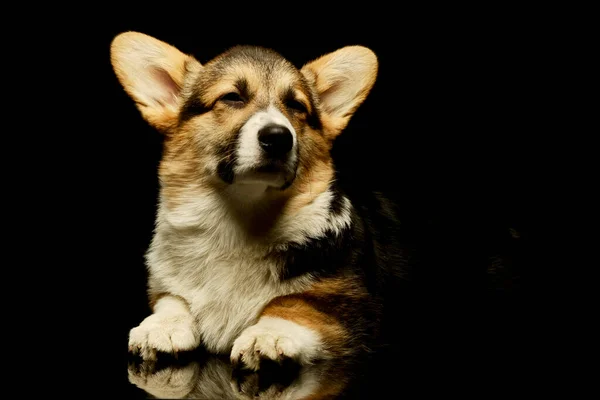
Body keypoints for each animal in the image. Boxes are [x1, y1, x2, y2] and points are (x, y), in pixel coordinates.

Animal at [109, 32, 408, 376]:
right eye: (232, 98)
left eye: (296, 106)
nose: (279, 137)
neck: (239, 220)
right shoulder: (166, 285)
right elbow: (173, 299)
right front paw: (161, 326)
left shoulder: (353, 302)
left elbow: (293, 303)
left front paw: (268, 335)